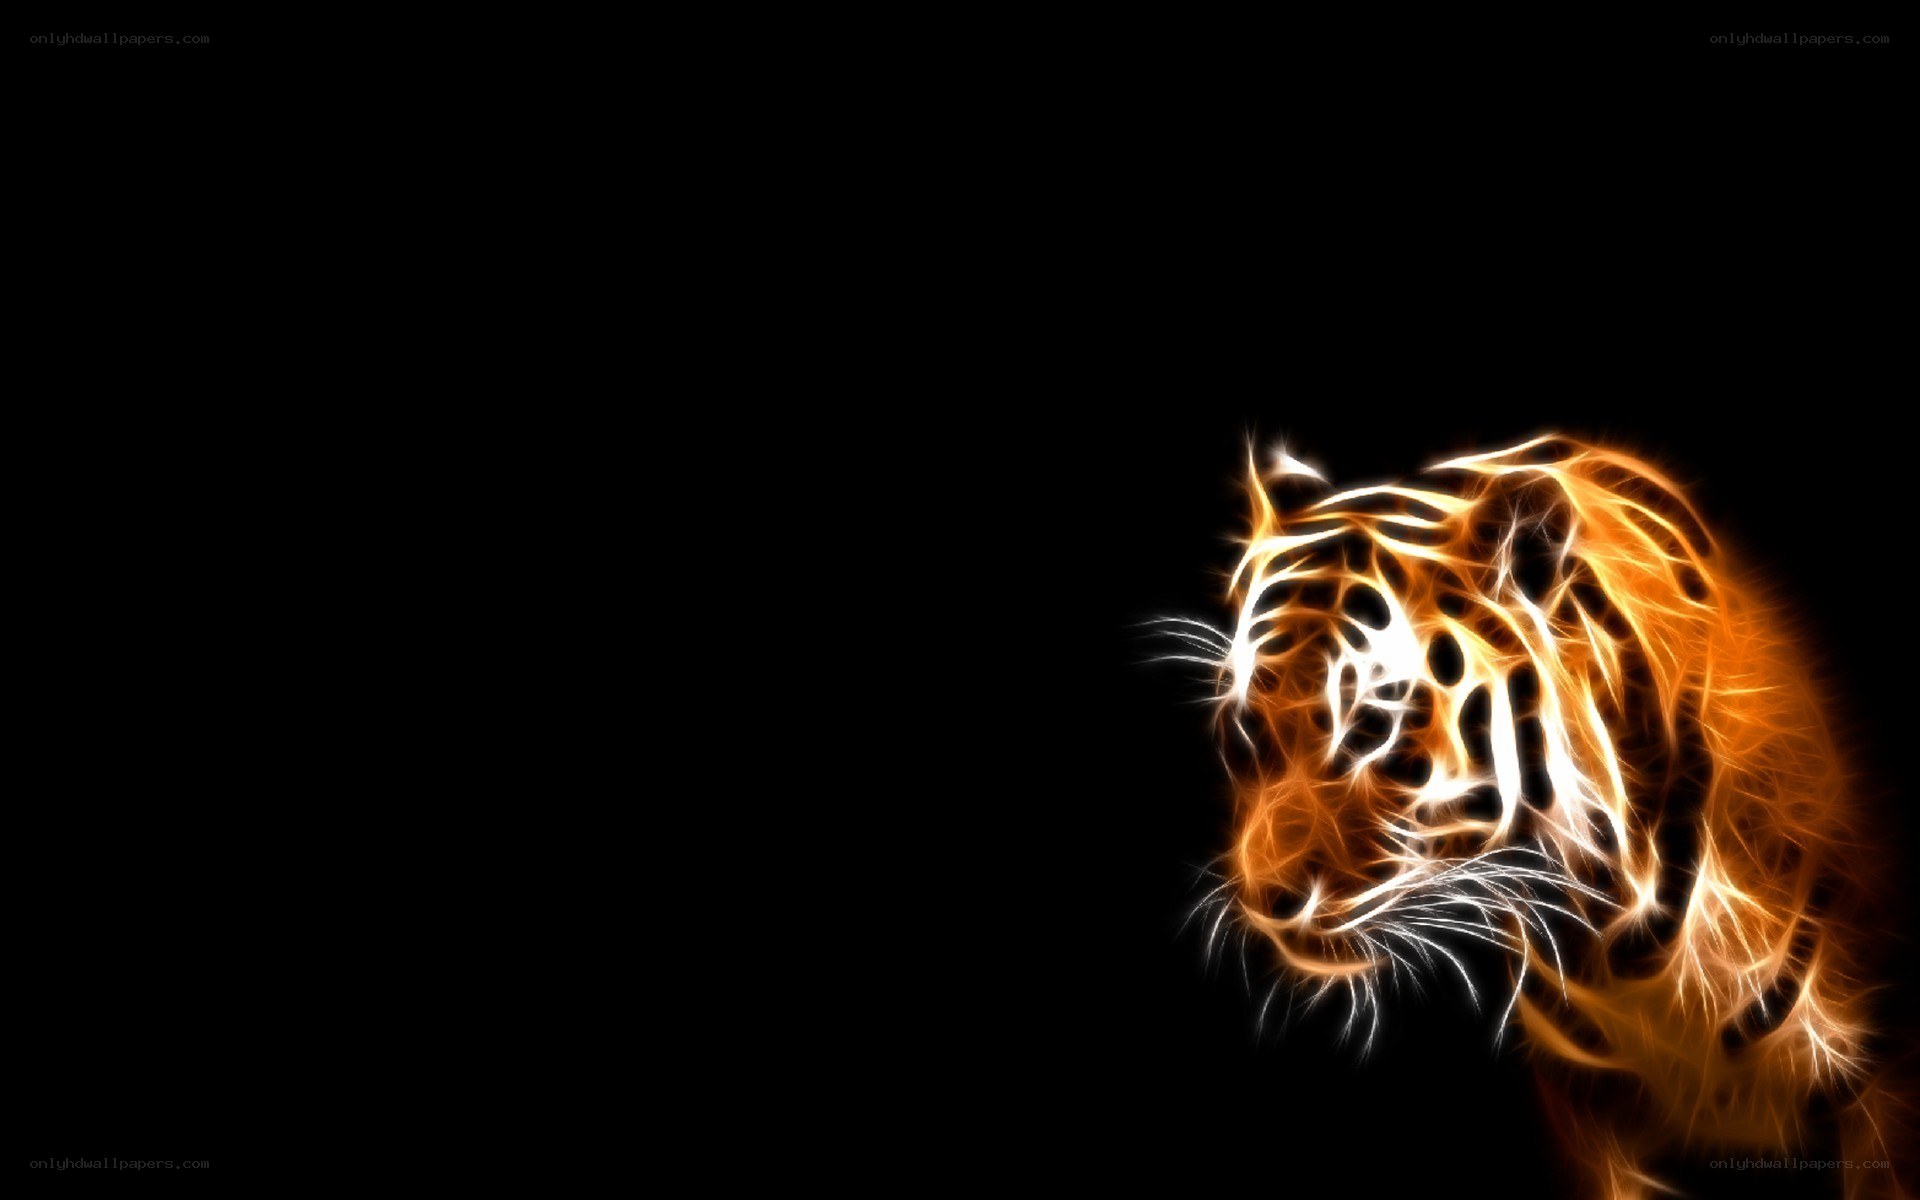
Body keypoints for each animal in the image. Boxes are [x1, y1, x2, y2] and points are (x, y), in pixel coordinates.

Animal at [1163, 435, 1913, 1200]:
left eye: (1373, 728)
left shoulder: (1884, 1085)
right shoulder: (1588, 1113)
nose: (1268, 902)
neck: (1615, 941)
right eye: (1245, 729)